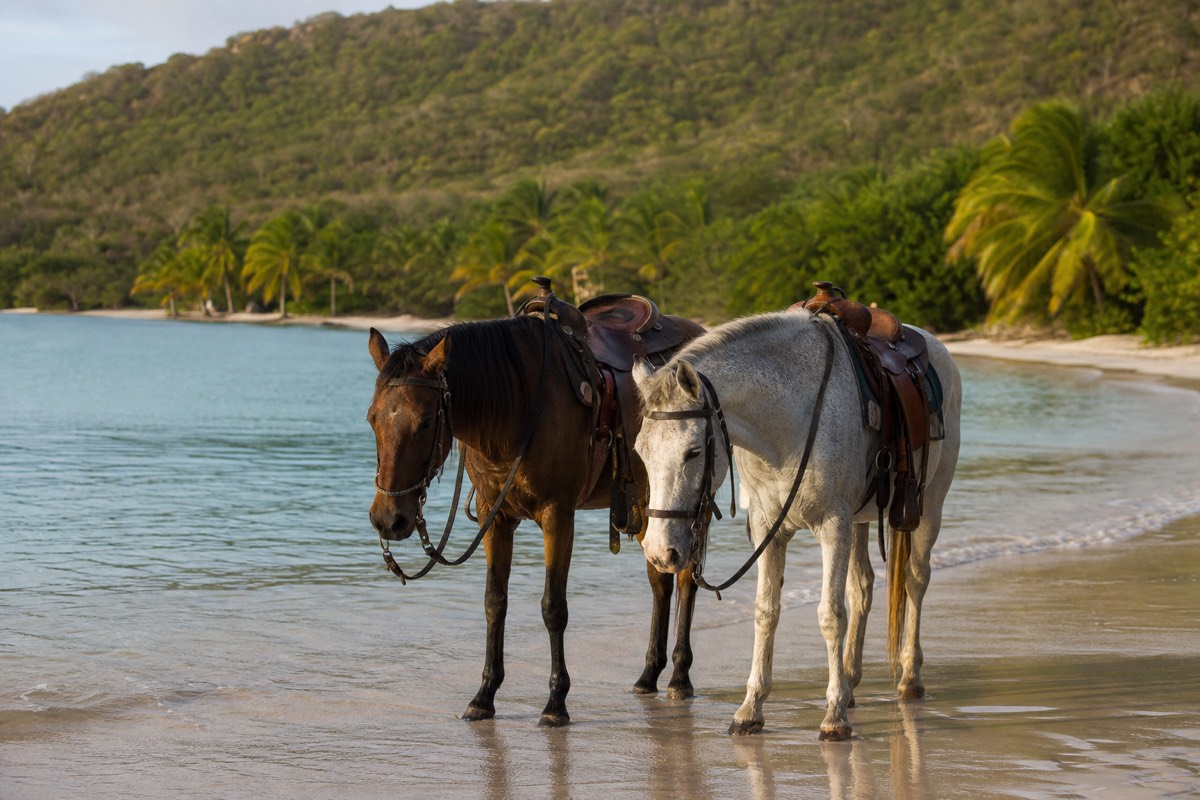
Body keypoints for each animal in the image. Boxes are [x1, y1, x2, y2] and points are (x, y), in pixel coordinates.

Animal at [366, 306, 704, 727]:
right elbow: (494, 601)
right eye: (372, 418)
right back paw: (648, 675)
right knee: (660, 582)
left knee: (688, 580)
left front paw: (556, 702)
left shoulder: (558, 515)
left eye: (426, 422)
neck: (517, 404)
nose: (388, 519)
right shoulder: (493, 517)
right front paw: (484, 696)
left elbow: (553, 607)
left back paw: (679, 676)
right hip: (648, 505)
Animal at [631, 308, 961, 740]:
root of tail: (934, 345)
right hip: (860, 520)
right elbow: (766, 611)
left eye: (693, 452)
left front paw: (833, 717)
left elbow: (830, 615)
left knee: (915, 581)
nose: (659, 551)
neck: (790, 419)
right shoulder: (769, 528)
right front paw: (751, 709)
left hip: (928, 505)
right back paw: (851, 682)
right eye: (640, 451)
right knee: (862, 587)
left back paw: (908, 679)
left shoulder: (833, 525)